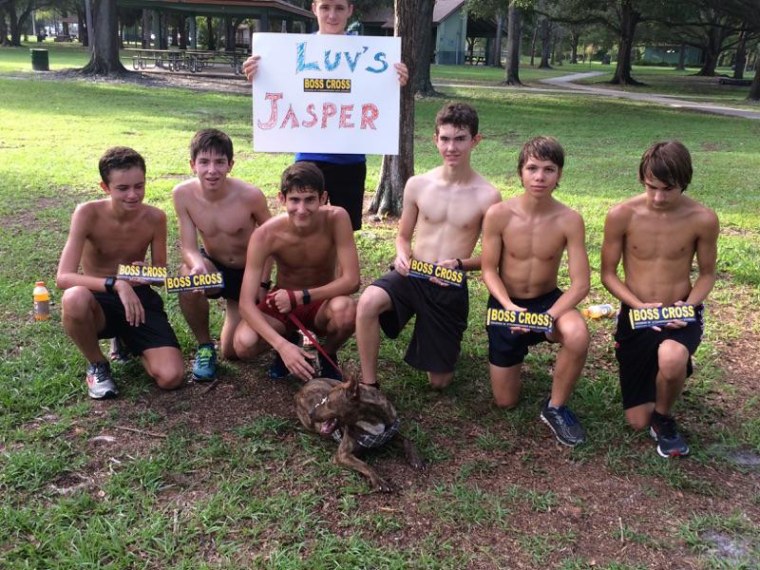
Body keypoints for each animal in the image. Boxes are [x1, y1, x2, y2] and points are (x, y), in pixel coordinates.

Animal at [296, 374, 424, 490]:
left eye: (327, 401)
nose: (311, 413)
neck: (370, 419)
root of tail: (302, 388)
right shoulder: (342, 455)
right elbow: (365, 465)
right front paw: (378, 480)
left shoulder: (388, 434)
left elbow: (407, 440)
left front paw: (415, 458)